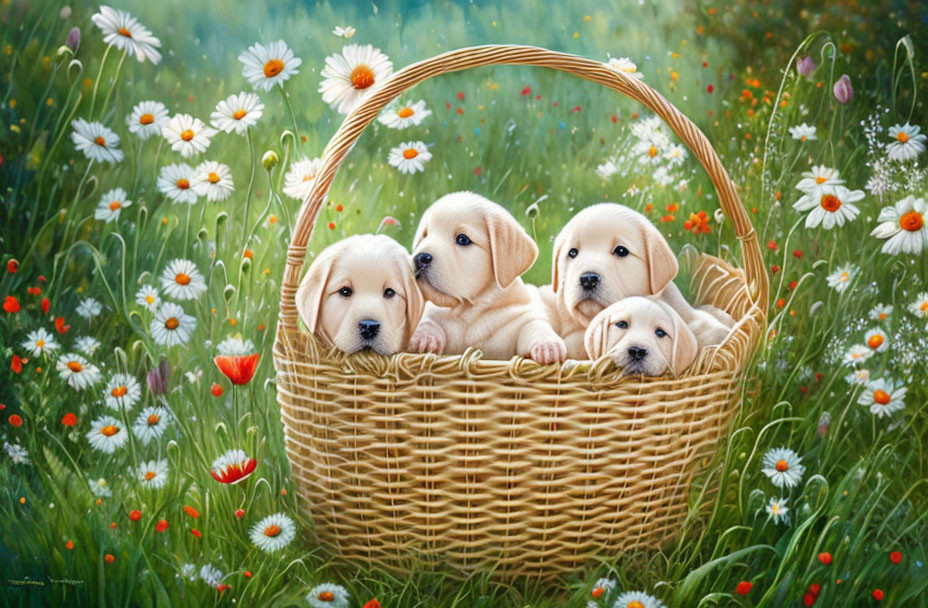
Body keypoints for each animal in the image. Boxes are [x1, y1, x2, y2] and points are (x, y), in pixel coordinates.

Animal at [412, 190, 568, 364]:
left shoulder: (521, 317)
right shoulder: (429, 310)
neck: (468, 310)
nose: (420, 258)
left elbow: (534, 326)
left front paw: (548, 346)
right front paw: (424, 337)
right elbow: (425, 319)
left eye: (462, 239)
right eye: (425, 236)